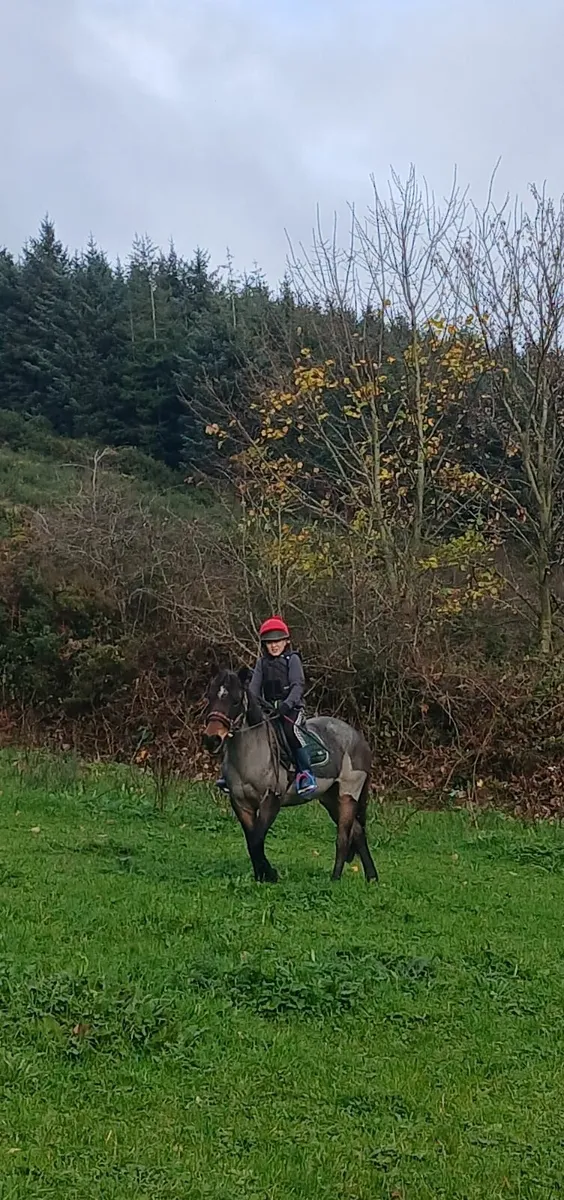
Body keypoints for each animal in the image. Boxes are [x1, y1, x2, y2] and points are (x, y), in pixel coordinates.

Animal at [202, 667, 378, 884]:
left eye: (235, 700)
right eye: (210, 697)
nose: (211, 739)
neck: (251, 752)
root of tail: (358, 737)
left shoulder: (271, 800)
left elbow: (256, 840)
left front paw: (269, 874)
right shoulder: (240, 803)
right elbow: (251, 840)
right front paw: (262, 875)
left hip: (348, 794)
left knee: (344, 837)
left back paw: (335, 878)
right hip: (330, 798)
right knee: (358, 832)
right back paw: (372, 877)